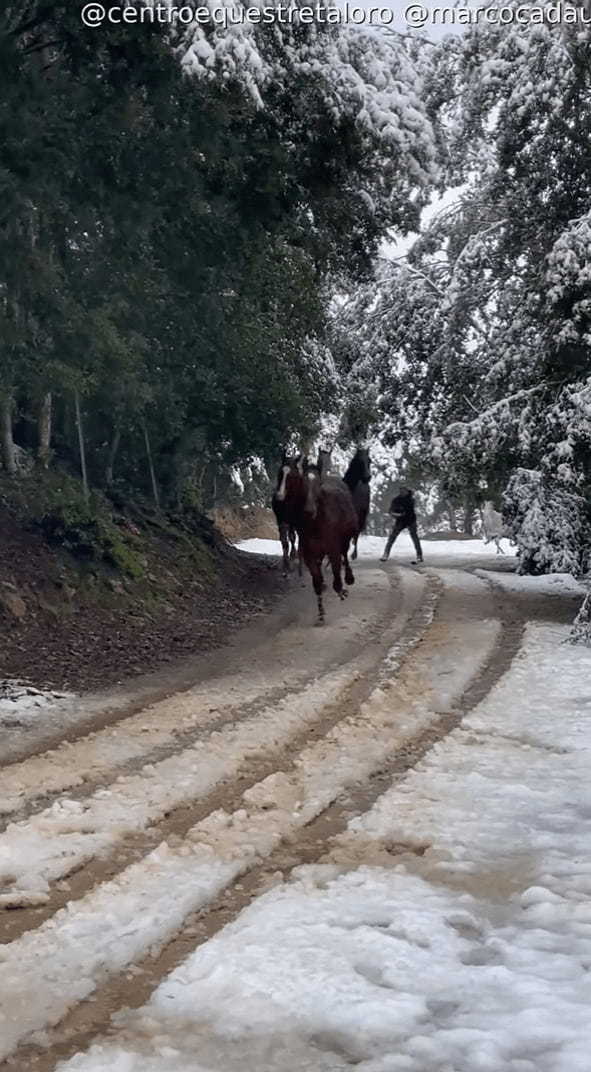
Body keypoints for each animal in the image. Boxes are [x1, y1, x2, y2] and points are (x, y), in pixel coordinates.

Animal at [274, 456, 358, 626]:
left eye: (319, 484)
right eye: (303, 482)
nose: (309, 509)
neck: (316, 522)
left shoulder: (333, 549)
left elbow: (337, 579)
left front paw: (342, 591)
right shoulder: (309, 552)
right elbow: (317, 581)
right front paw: (321, 614)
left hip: (345, 539)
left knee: (345, 554)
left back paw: (349, 578)